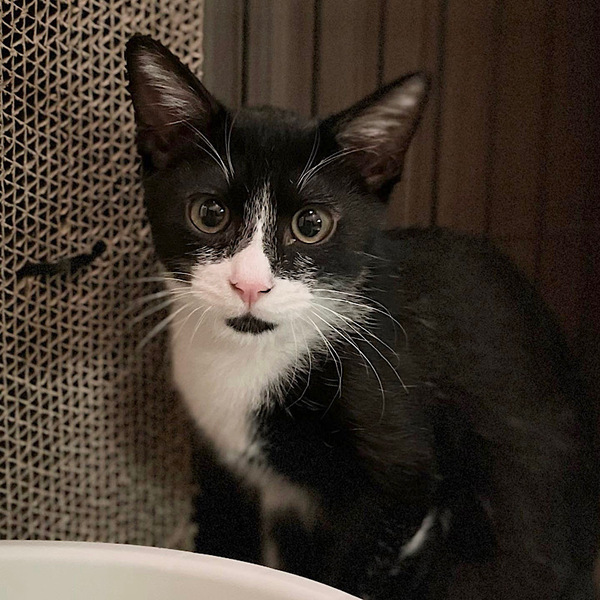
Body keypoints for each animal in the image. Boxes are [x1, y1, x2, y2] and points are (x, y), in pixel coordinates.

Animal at [125, 35, 598, 599]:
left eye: (312, 224)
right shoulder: (243, 483)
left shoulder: (403, 475)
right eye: (209, 214)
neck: (250, 358)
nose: (249, 285)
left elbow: (356, 565)